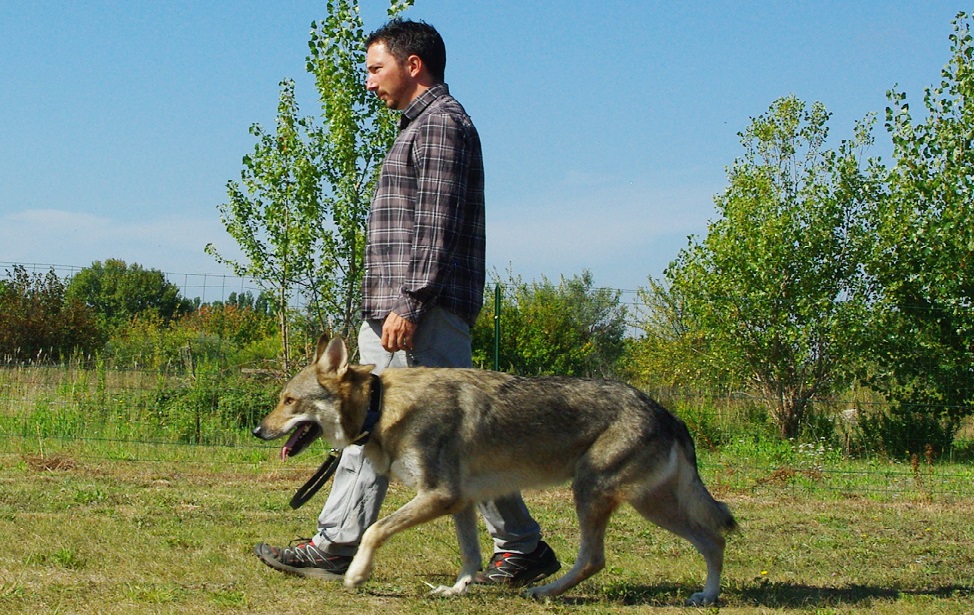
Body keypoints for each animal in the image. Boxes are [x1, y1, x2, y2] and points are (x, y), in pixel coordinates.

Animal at [254, 336, 740, 608]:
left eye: (288, 400)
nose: (259, 430)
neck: (382, 407)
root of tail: (665, 412)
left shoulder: (439, 495)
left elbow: (373, 530)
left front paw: (356, 574)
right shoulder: (461, 502)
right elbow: (469, 557)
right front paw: (456, 591)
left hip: (603, 497)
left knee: (598, 559)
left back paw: (545, 592)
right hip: (648, 503)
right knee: (713, 540)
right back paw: (707, 596)